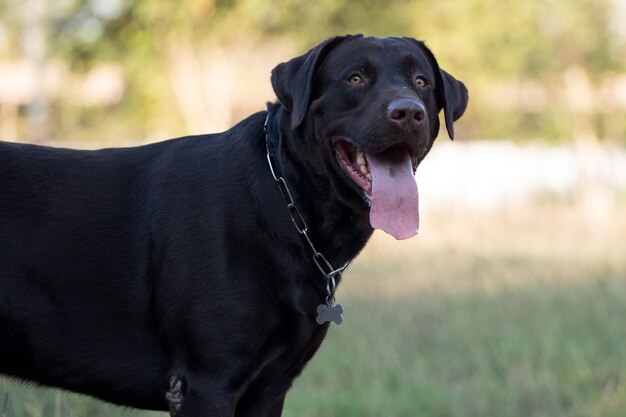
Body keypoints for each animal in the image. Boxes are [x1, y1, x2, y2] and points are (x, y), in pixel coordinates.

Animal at [0, 35, 464, 416]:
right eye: (355, 78)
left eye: (421, 82)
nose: (408, 112)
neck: (287, 200)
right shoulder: (206, 382)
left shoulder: (269, 387)